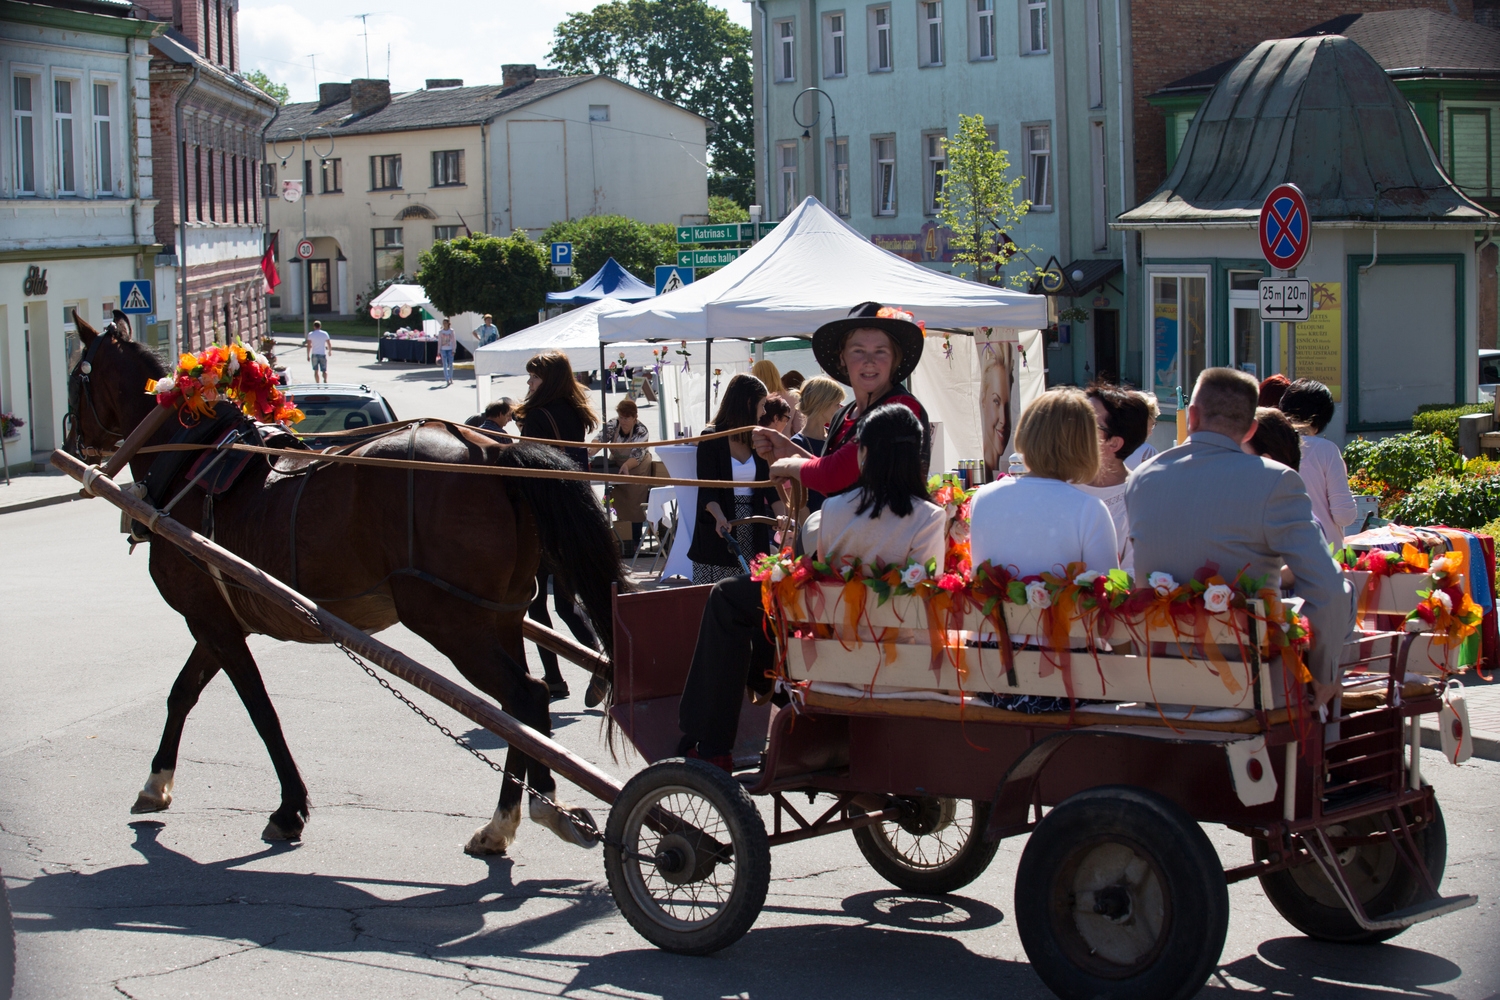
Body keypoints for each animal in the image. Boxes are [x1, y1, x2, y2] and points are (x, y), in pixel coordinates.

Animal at [63, 316, 627, 857]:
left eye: (73, 377)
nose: (72, 444)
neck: (189, 459)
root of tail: (493, 454)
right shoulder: (219, 620)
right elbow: (182, 693)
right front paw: (156, 782)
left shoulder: (212, 622)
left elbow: (260, 711)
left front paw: (290, 807)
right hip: (502, 615)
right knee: (523, 710)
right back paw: (542, 807)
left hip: (449, 619)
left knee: (524, 698)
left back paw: (506, 822)